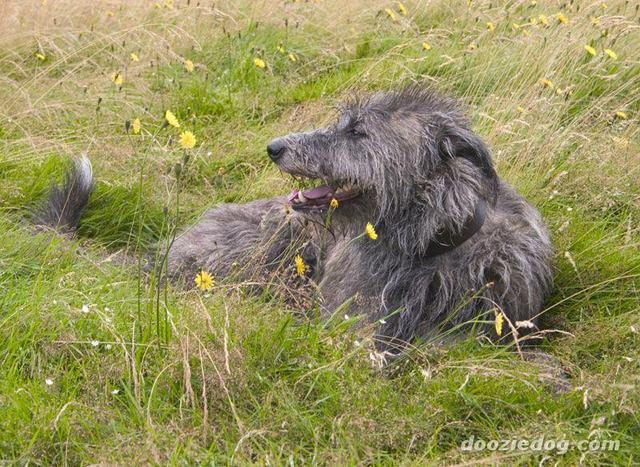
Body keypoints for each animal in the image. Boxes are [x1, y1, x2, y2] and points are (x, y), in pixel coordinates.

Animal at [36, 86, 556, 352]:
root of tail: (161, 257)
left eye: (357, 132)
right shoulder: (354, 319)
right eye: (344, 123)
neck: (428, 242)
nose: (273, 147)